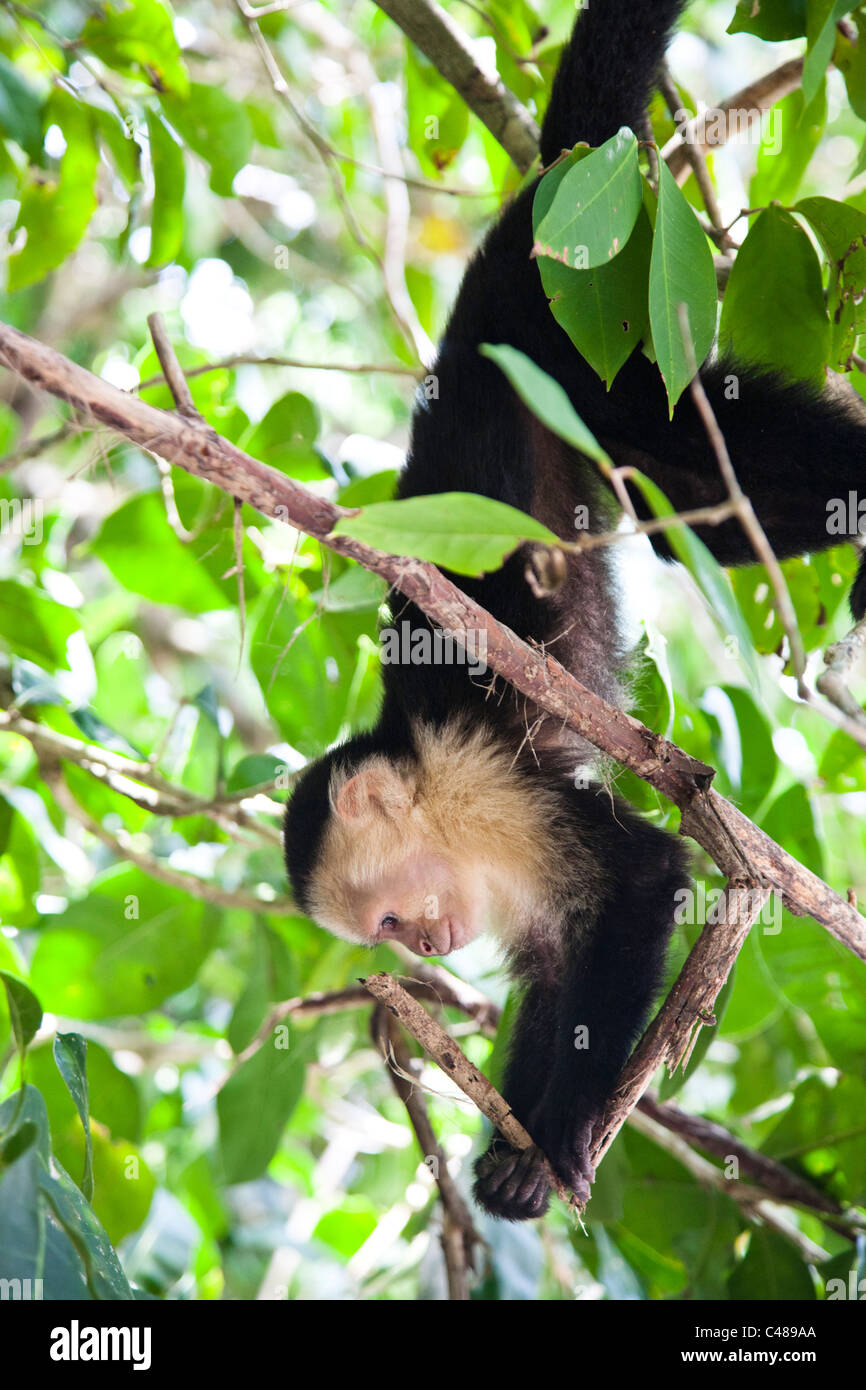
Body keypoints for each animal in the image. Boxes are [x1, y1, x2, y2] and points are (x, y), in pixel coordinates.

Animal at [284, 0, 866, 1217]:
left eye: (389, 922)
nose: (429, 951)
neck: (422, 777)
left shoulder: (482, 785)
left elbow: (640, 883)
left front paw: (554, 1139)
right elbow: (558, 961)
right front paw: (508, 1153)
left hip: (585, 333)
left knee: (699, 443)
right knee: (707, 516)